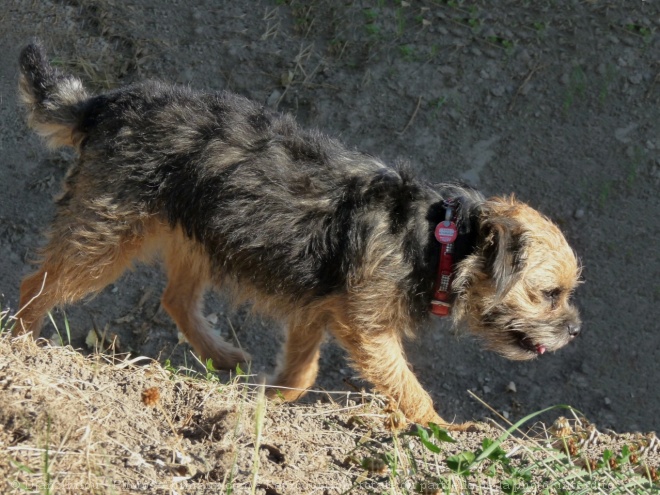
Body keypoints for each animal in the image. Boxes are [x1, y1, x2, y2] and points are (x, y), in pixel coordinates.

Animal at [14, 43, 584, 430]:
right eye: (549, 294)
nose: (576, 330)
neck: (437, 242)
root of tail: (102, 103)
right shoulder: (367, 329)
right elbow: (406, 387)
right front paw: (442, 430)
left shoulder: (317, 309)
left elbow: (301, 373)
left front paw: (269, 399)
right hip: (105, 236)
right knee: (36, 285)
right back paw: (21, 345)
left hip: (197, 235)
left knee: (175, 298)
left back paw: (222, 356)